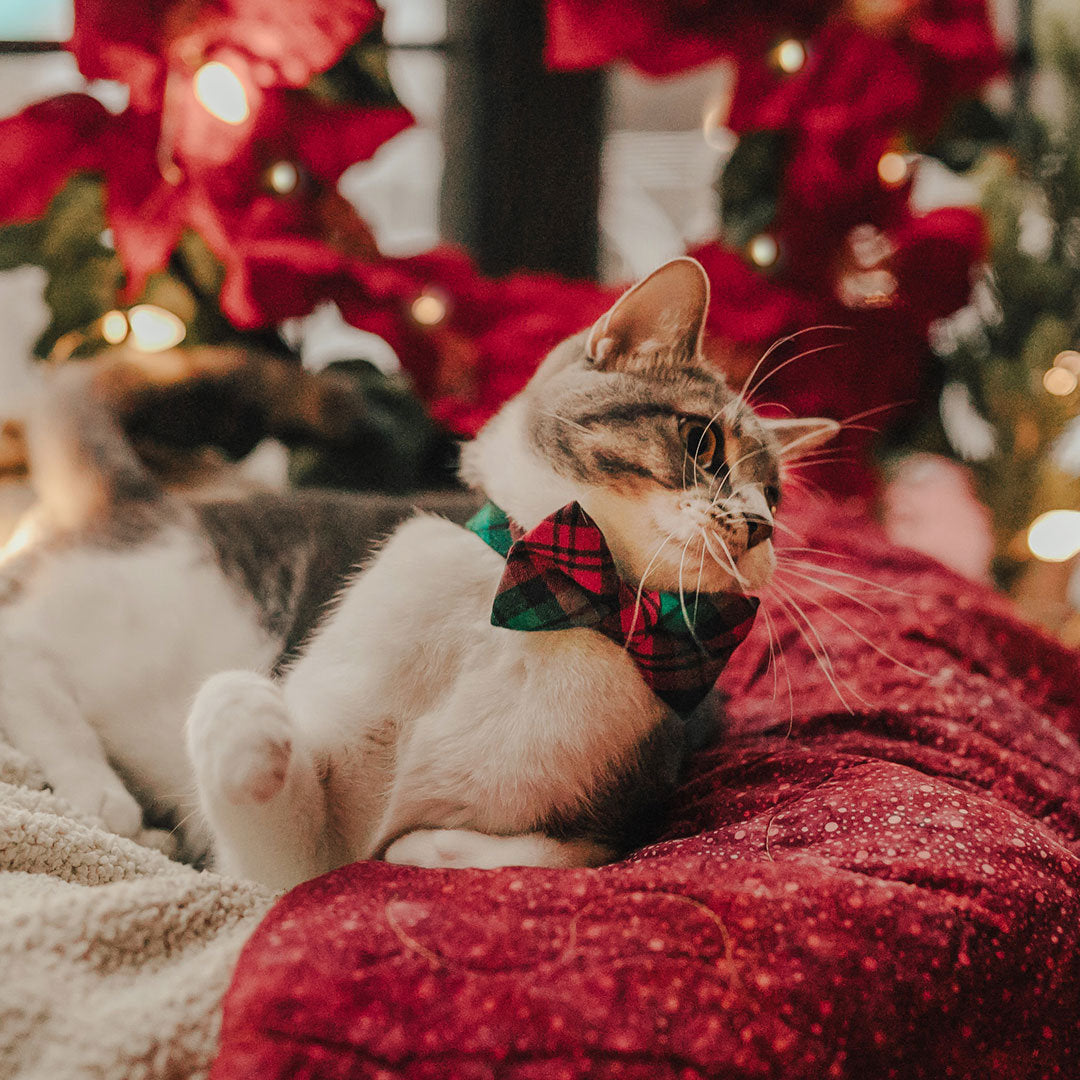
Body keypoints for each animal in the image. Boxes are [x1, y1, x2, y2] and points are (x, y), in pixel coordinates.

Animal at [0, 259, 833, 885]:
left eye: (777, 495)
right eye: (702, 443)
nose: (759, 526)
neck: (553, 606)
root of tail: (156, 498)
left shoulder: (648, 774)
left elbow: (567, 854)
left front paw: (432, 848)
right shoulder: (295, 853)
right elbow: (272, 816)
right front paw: (244, 717)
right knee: (24, 647)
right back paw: (99, 789)